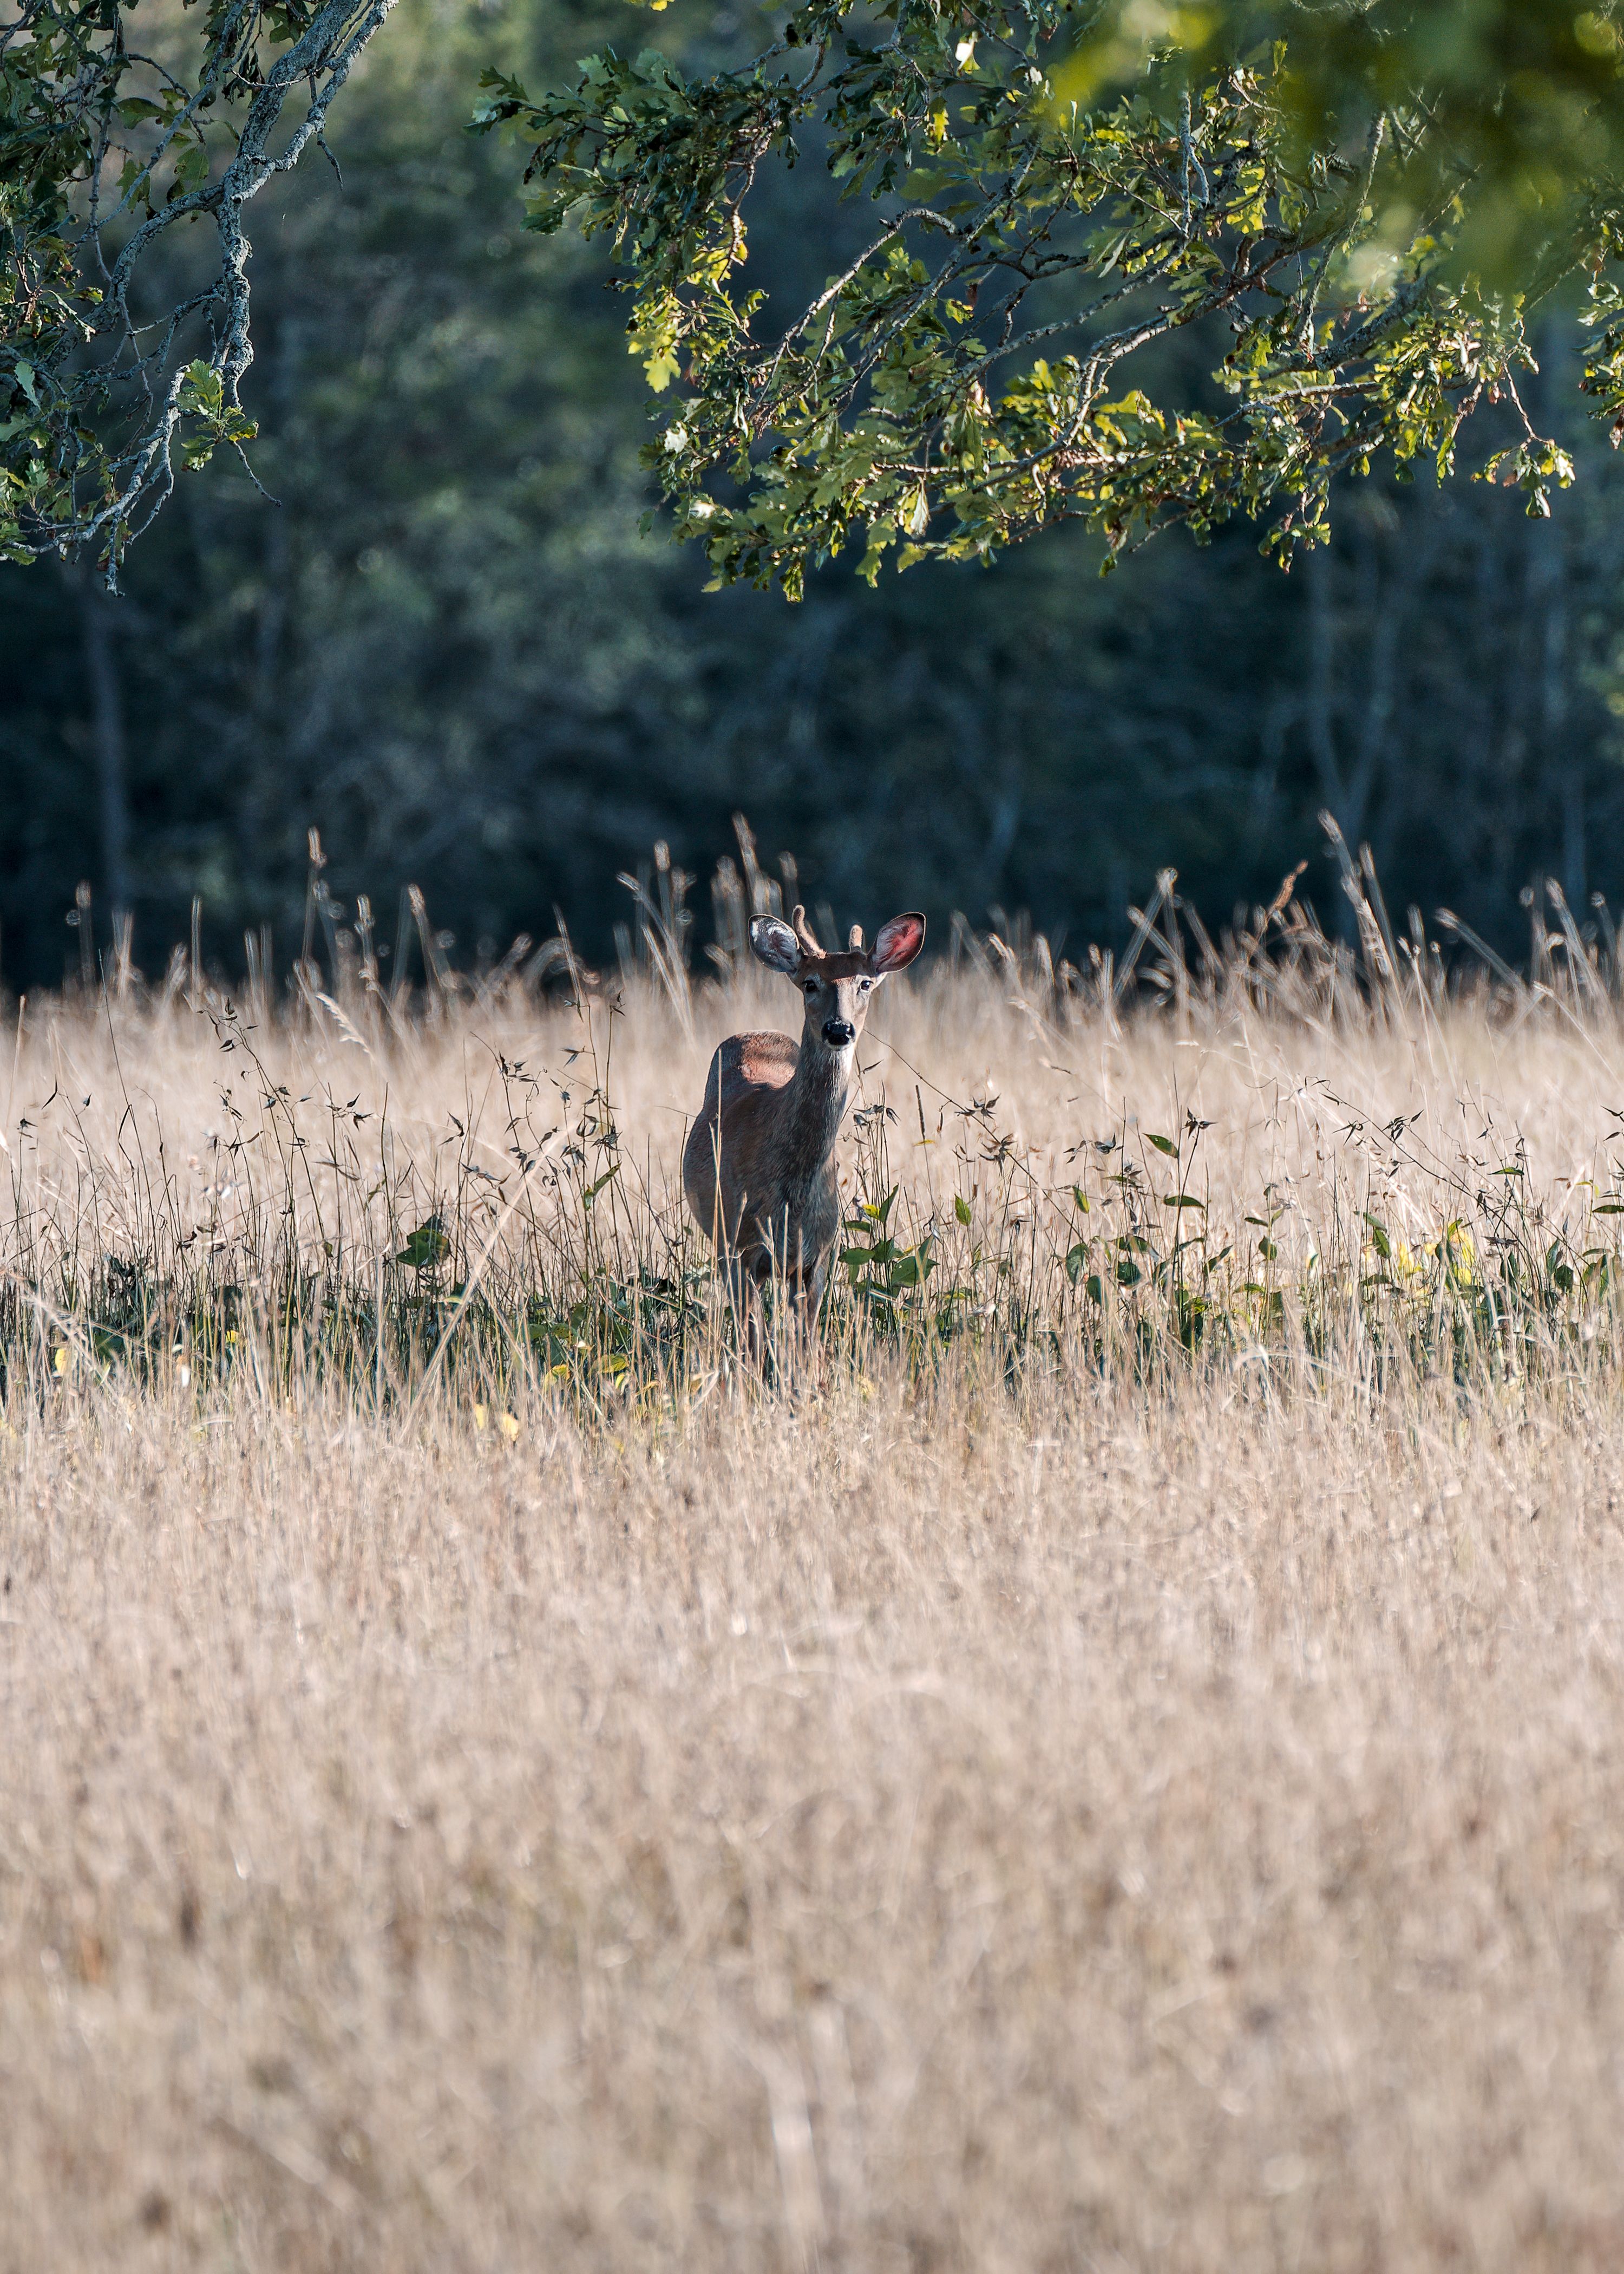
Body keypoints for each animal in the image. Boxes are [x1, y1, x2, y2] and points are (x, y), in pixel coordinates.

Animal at [683, 903, 926, 1339]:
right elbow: (754, 1340)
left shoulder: (818, 1257)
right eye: (810, 984)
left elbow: (806, 1343)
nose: (839, 1029)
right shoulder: (740, 1248)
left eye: (865, 983)